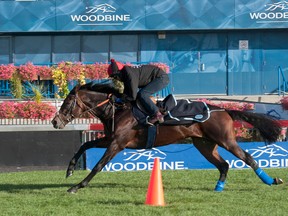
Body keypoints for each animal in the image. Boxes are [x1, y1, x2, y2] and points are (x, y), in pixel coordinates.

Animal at [51, 82, 284, 193]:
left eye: (68, 102)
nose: (55, 122)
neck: (117, 110)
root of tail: (224, 109)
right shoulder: (110, 139)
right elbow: (85, 146)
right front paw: (70, 170)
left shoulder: (118, 143)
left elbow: (98, 165)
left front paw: (77, 186)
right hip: (204, 144)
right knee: (224, 165)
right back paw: (218, 187)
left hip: (225, 140)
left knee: (247, 158)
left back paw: (272, 180)